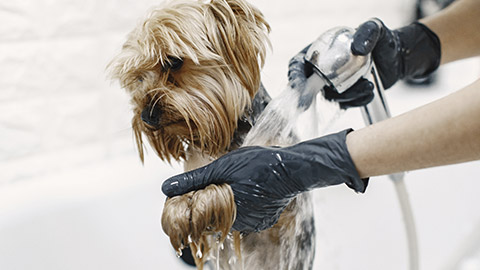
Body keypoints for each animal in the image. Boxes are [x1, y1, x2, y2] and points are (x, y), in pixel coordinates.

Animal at [110, 1, 316, 268]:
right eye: (138, 77)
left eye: (173, 61)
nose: (145, 116)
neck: (222, 141)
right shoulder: (194, 165)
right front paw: (177, 210)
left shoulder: (281, 185)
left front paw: (203, 202)